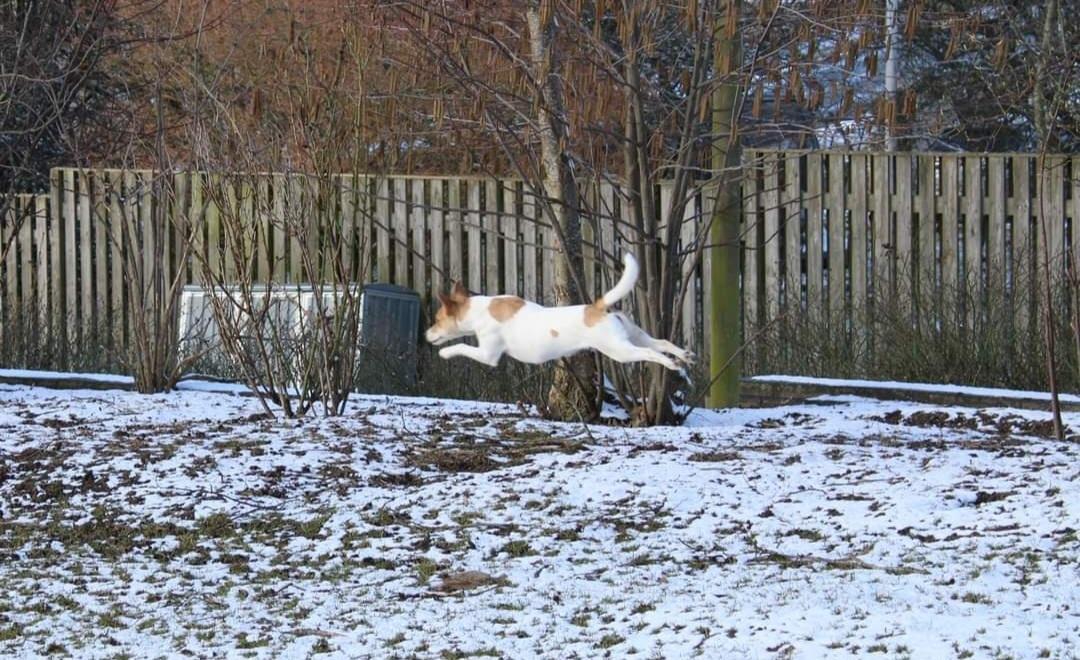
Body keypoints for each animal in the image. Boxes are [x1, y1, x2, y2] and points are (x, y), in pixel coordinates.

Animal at [423, 251, 691, 371]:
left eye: (437, 319)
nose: (426, 334)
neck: (479, 310)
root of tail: (598, 307)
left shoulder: (488, 355)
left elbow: (460, 346)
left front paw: (445, 353)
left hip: (619, 350)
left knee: (650, 353)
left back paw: (670, 364)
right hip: (634, 335)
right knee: (661, 342)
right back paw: (684, 356)